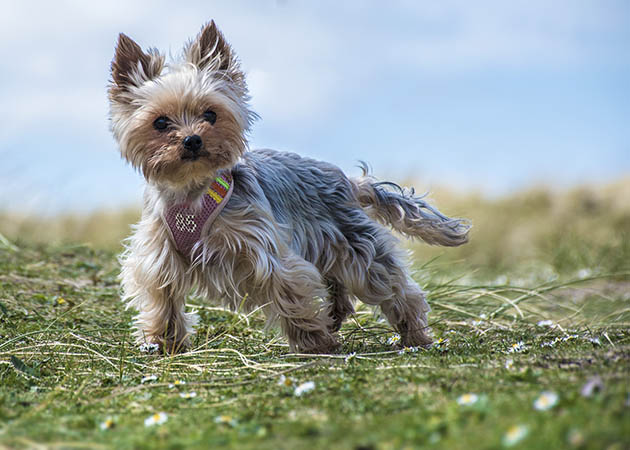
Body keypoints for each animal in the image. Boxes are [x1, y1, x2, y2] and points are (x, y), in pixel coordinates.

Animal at [108, 22, 472, 356]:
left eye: (210, 114)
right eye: (160, 123)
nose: (192, 140)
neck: (193, 192)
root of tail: (346, 180)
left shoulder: (264, 250)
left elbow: (290, 290)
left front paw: (315, 342)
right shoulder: (159, 254)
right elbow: (162, 297)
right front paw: (162, 342)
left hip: (356, 245)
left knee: (395, 287)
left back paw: (415, 336)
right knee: (341, 287)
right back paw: (337, 317)